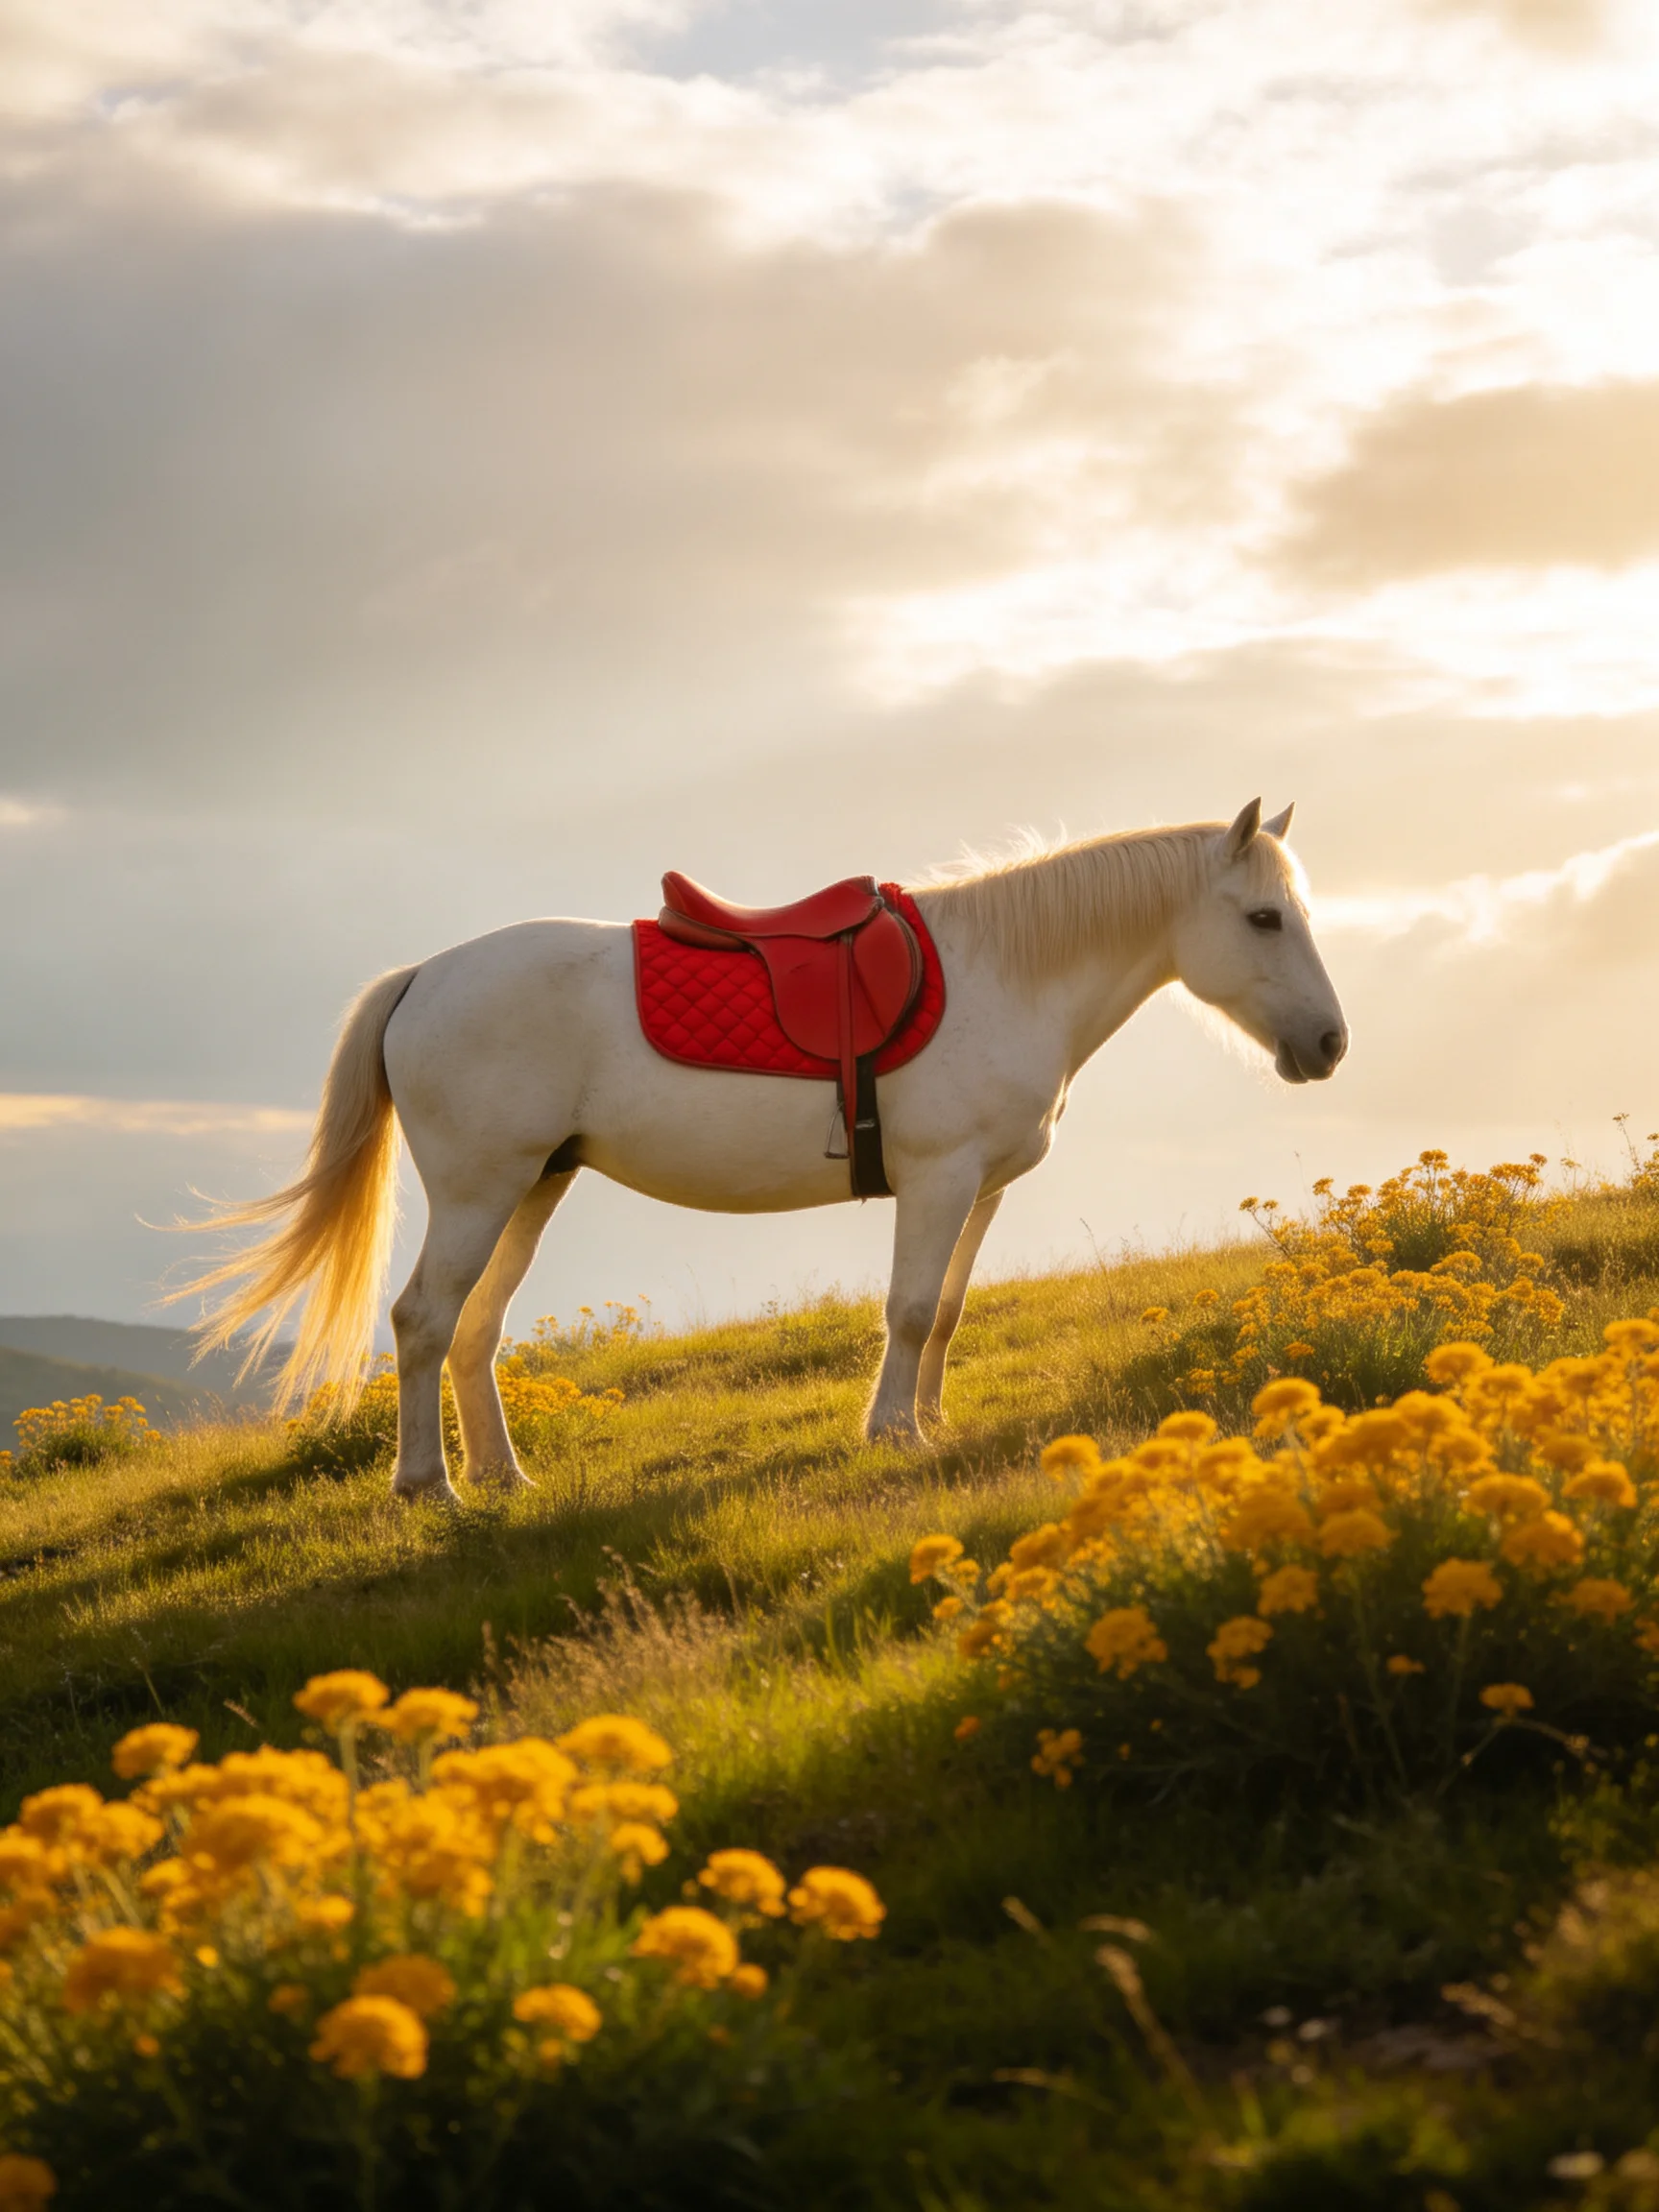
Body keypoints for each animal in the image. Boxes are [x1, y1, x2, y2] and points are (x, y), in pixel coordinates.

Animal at [178, 799, 1347, 1504]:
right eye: (1262, 918)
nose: (1330, 1046)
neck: (1005, 975)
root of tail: (423, 975)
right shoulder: (938, 1180)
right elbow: (909, 1310)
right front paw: (894, 1434)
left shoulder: (981, 1191)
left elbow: (949, 1311)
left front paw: (931, 1419)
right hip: (480, 1188)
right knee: (423, 1321)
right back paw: (430, 1486)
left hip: (533, 1186)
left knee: (474, 1329)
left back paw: (506, 1480)